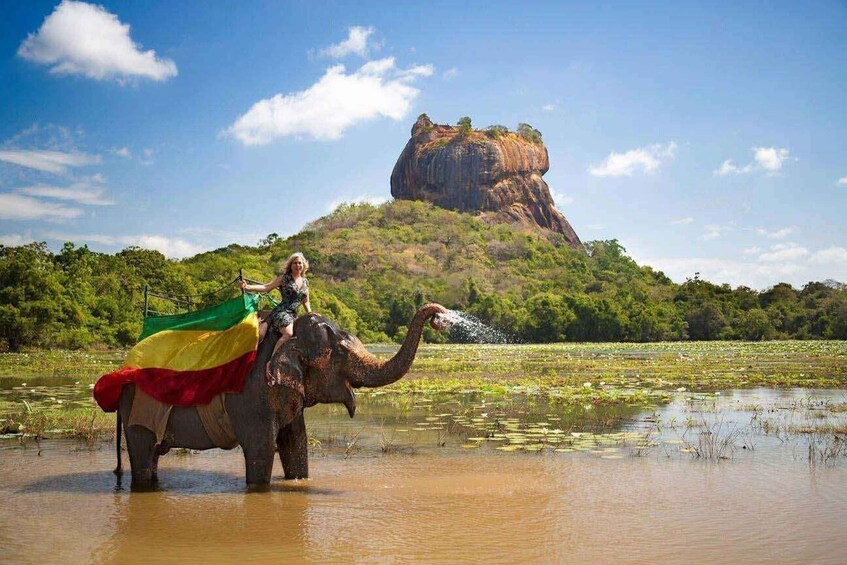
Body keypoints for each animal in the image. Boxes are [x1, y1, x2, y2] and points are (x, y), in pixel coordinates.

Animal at [115, 303, 449, 489]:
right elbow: (262, 448)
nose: (441, 316)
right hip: (136, 411)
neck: (286, 337)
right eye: (341, 353)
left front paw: (299, 483)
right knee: (143, 456)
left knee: (152, 456)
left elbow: (295, 442)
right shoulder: (251, 395)